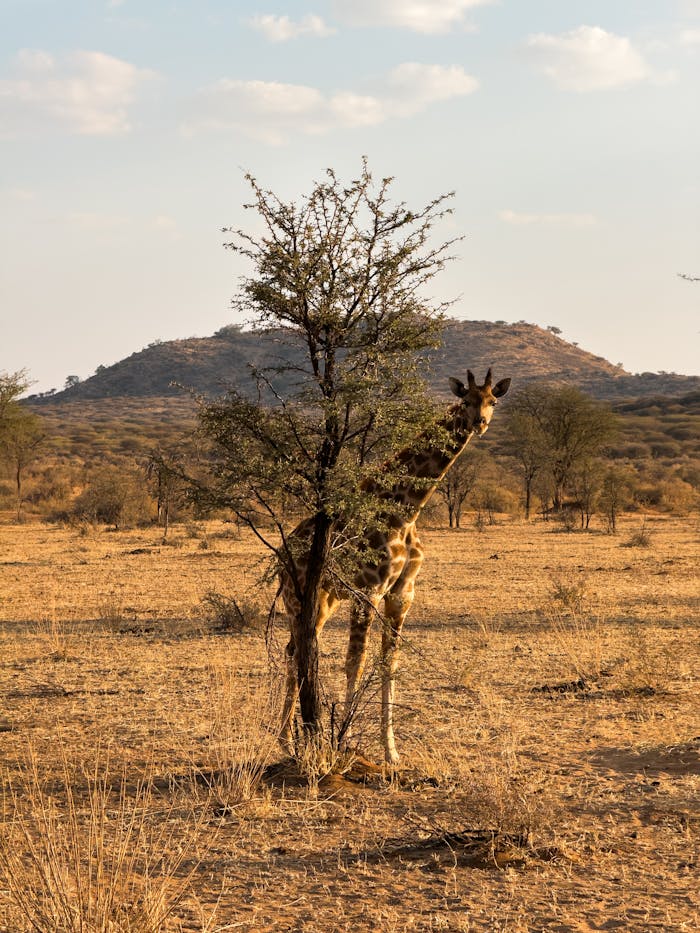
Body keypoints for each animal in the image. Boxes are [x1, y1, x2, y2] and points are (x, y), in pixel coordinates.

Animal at [279, 368, 511, 764]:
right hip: (298, 596)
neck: (407, 510)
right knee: (296, 652)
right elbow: (355, 661)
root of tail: (282, 551)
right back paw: (282, 738)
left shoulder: (402, 595)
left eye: (493, 401)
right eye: (466, 400)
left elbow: (390, 664)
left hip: (324, 600)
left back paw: (285, 739)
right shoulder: (368, 590)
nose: (479, 423)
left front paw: (391, 751)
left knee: (297, 650)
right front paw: (343, 741)